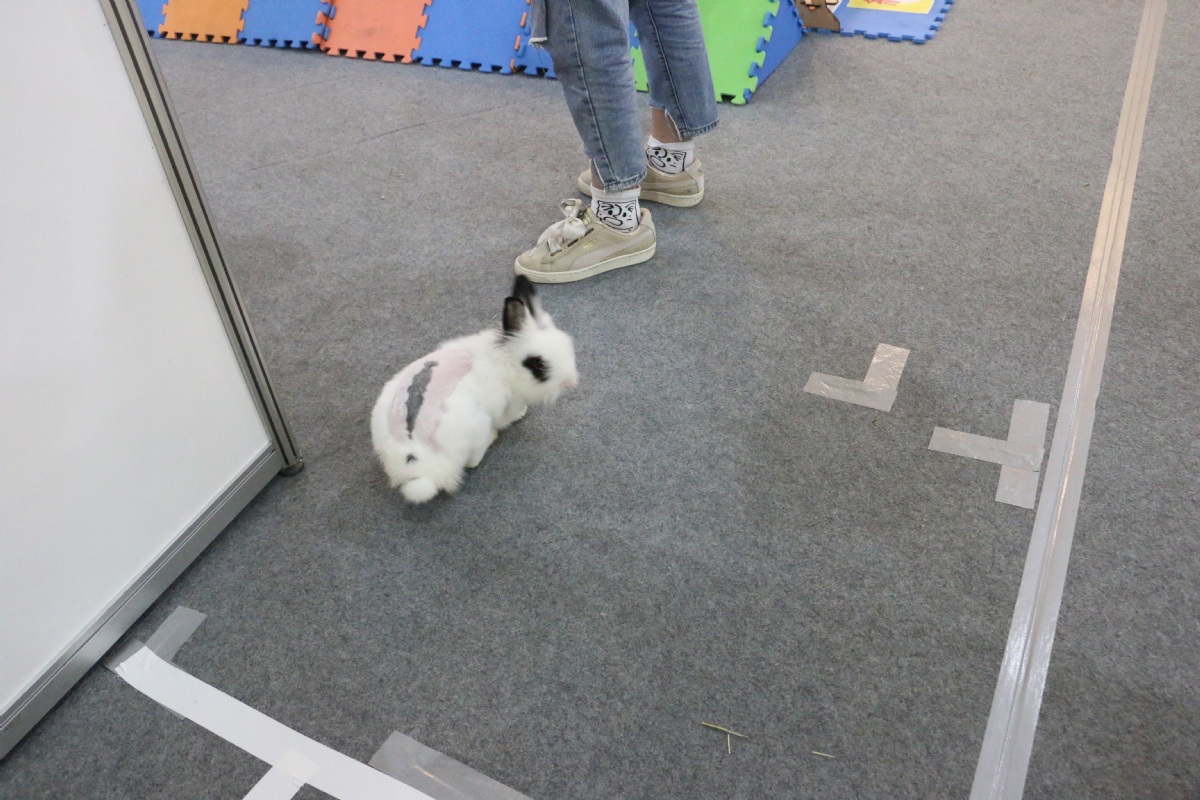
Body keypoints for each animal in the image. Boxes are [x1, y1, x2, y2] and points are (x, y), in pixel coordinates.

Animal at [370, 276, 579, 503]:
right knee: (472, 461)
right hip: (478, 427)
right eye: (538, 364)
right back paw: (492, 437)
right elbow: (510, 414)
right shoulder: (508, 402)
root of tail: (417, 464)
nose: (570, 382)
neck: (505, 361)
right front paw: (521, 414)